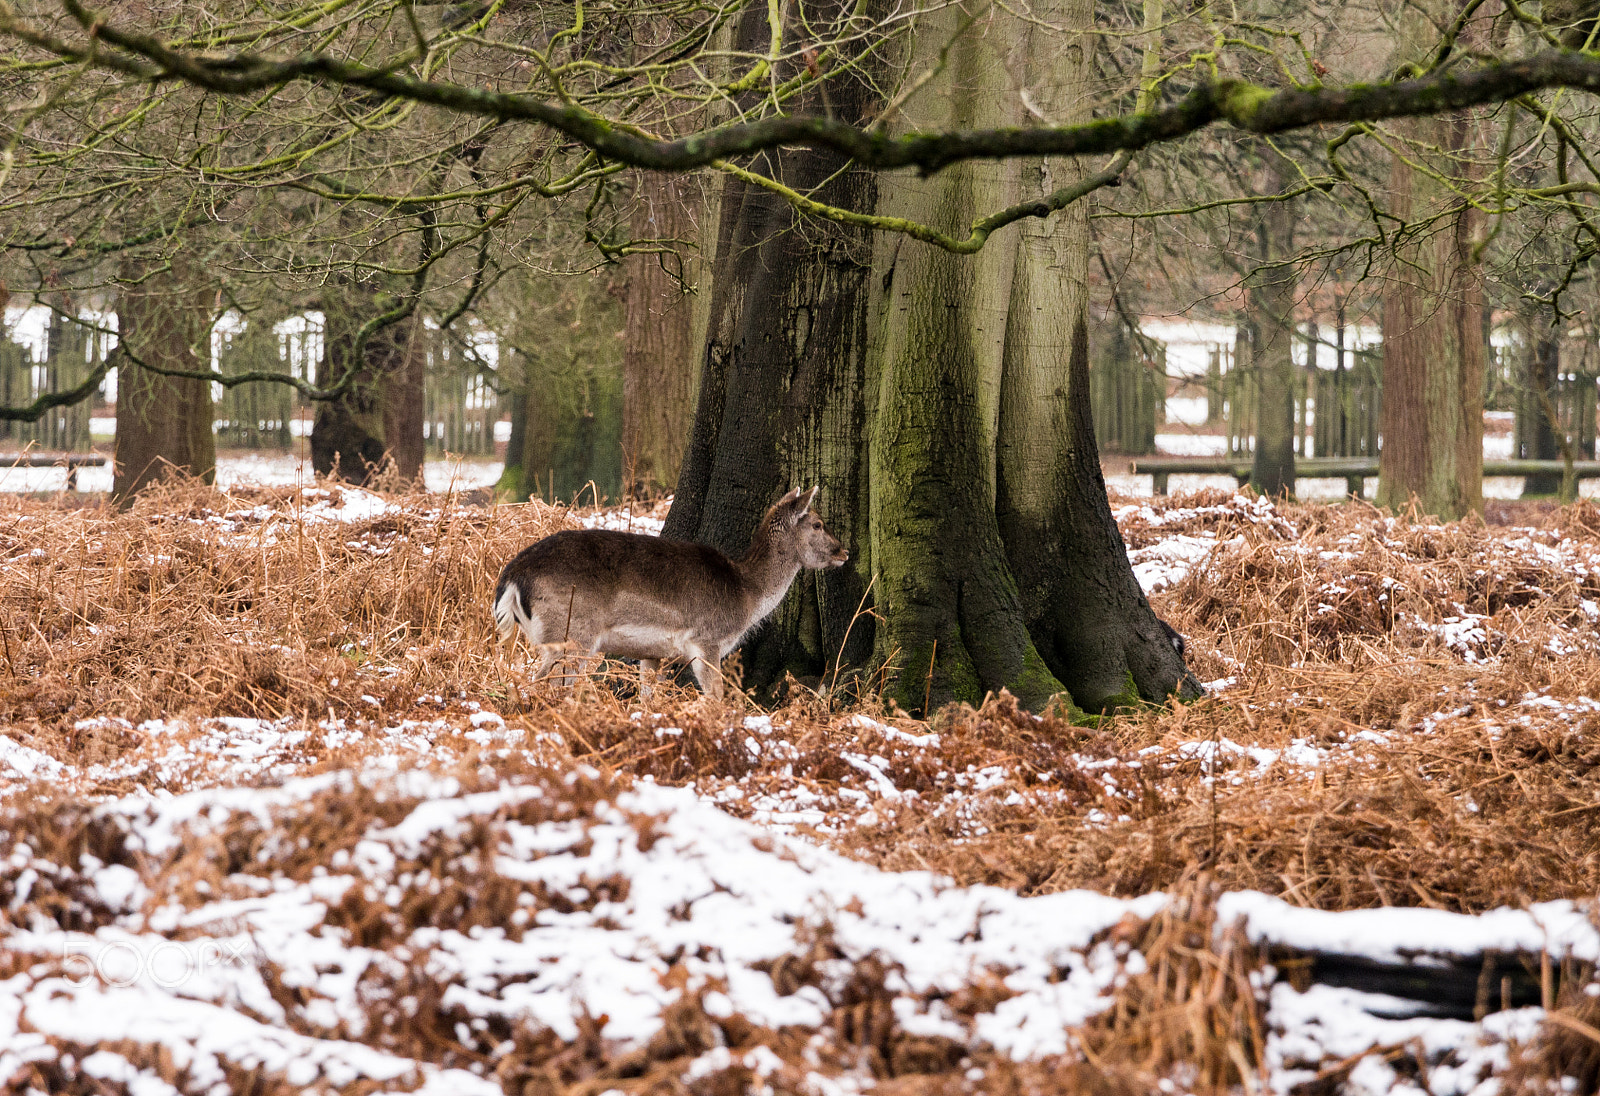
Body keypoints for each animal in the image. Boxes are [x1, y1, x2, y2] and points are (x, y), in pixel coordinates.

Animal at [492, 483, 851, 697]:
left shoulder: (654, 654)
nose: (844, 552)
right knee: (544, 684)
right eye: (818, 524)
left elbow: (649, 698)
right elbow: (716, 698)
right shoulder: (706, 640)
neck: (747, 593)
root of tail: (511, 577)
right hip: (572, 634)